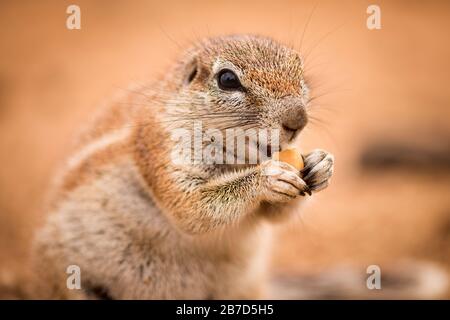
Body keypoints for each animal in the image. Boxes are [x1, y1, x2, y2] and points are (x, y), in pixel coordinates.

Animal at [29, 35, 334, 300]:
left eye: (299, 69)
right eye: (227, 79)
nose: (298, 120)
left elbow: (275, 215)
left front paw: (321, 164)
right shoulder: (160, 148)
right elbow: (191, 208)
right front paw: (267, 178)